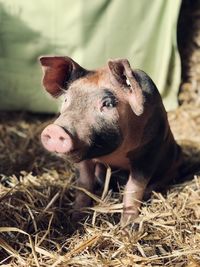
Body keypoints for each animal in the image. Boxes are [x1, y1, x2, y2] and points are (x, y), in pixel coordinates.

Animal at [39, 57, 183, 226]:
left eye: (107, 104)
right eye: (67, 99)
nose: (55, 130)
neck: (114, 156)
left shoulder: (149, 152)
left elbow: (133, 188)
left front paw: (127, 226)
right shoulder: (84, 159)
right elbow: (84, 186)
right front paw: (75, 220)